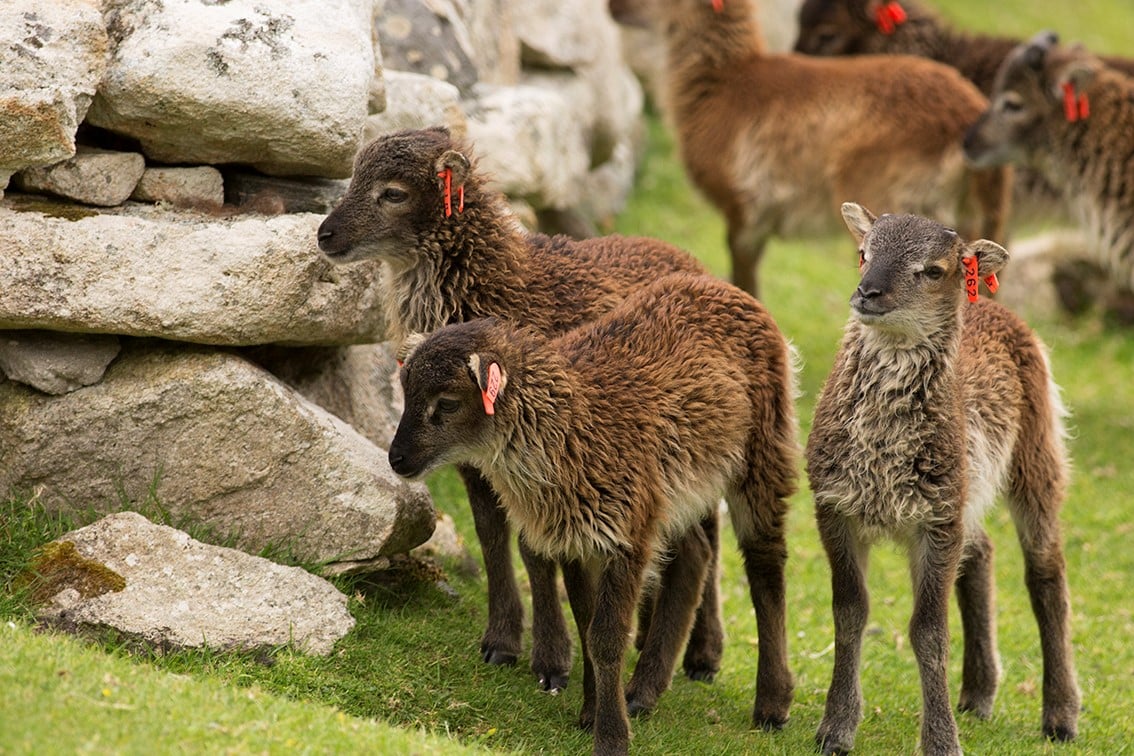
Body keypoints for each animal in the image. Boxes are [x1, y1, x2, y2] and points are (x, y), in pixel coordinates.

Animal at [387, 270, 798, 756]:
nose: (397, 459)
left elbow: (605, 638)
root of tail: (725, 287)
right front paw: (591, 712)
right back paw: (643, 691)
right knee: (695, 555)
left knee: (766, 568)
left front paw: (611, 735)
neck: (574, 428)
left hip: (763, 453)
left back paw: (772, 704)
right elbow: (585, 626)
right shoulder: (578, 537)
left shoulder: (626, 537)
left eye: (447, 402)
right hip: (676, 490)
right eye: (406, 392)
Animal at [657, 0, 1011, 299]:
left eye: (827, 34)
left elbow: (745, 277)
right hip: (983, 215)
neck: (722, 82)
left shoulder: (742, 210)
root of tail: (964, 120)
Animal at [807, 202, 1079, 756]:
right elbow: (849, 612)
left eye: (933, 270)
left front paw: (940, 742)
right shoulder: (837, 507)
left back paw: (1061, 717)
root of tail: (996, 309)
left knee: (1046, 570)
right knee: (982, 552)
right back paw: (977, 695)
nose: (869, 292)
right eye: (863, 253)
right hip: (966, 490)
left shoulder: (934, 521)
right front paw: (835, 730)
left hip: (1037, 455)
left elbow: (929, 631)